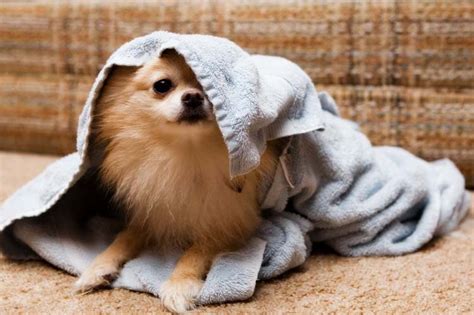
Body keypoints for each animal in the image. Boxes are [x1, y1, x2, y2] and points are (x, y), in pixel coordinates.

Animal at [73, 50, 282, 314]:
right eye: (162, 85)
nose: (192, 96)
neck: (185, 152)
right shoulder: (152, 213)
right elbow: (123, 238)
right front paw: (98, 267)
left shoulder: (229, 223)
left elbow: (195, 253)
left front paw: (179, 285)